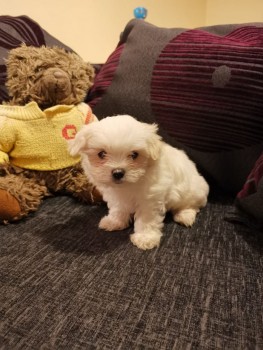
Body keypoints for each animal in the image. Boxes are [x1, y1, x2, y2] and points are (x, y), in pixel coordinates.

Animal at [70, 115, 210, 249]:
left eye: (134, 154)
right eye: (101, 154)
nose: (118, 172)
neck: (129, 185)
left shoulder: (150, 199)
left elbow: (147, 219)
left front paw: (145, 238)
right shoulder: (116, 197)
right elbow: (118, 209)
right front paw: (114, 222)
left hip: (192, 191)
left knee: (192, 205)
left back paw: (185, 215)